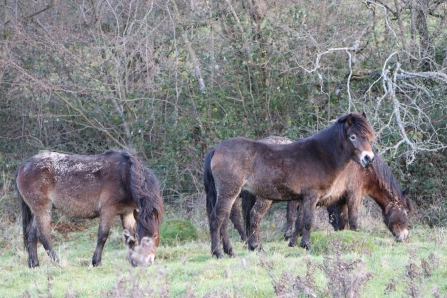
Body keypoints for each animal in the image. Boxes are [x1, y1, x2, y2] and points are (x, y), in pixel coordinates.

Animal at [15, 149, 164, 268]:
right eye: (141, 235)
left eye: (155, 235)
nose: (148, 261)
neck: (126, 175)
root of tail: (23, 166)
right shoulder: (108, 210)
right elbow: (102, 235)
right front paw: (96, 262)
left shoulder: (127, 213)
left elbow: (130, 239)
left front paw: (133, 262)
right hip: (43, 208)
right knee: (43, 235)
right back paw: (59, 262)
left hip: (36, 211)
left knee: (31, 234)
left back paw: (34, 264)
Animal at [205, 113, 376, 258]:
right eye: (353, 136)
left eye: (368, 138)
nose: (369, 158)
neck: (320, 155)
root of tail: (216, 149)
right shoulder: (311, 196)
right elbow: (308, 220)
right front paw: (307, 245)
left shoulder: (302, 199)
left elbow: (300, 220)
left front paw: (297, 243)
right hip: (229, 193)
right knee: (217, 219)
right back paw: (218, 253)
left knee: (225, 220)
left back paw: (232, 251)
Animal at [242, 137, 412, 249]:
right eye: (405, 213)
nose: (404, 236)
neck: (363, 169)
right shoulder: (353, 195)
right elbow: (353, 220)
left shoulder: (339, 200)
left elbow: (340, 222)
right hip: (264, 199)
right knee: (255, 215)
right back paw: (256, 245)